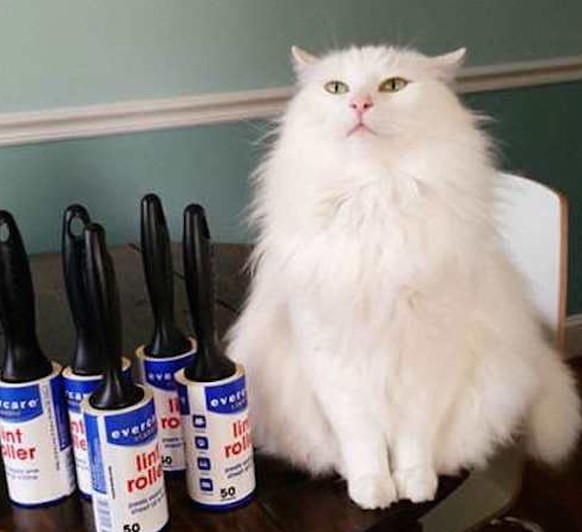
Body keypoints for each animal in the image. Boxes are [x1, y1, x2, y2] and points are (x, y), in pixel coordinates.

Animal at [226, 44, 581, 510]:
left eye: (393, 85)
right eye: (335, 87)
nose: (360, 104)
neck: (376, 194)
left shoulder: (429, 359)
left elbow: (414, 439)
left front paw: (414, 484)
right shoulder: (334, 363)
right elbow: (363, 441)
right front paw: (373, 489)